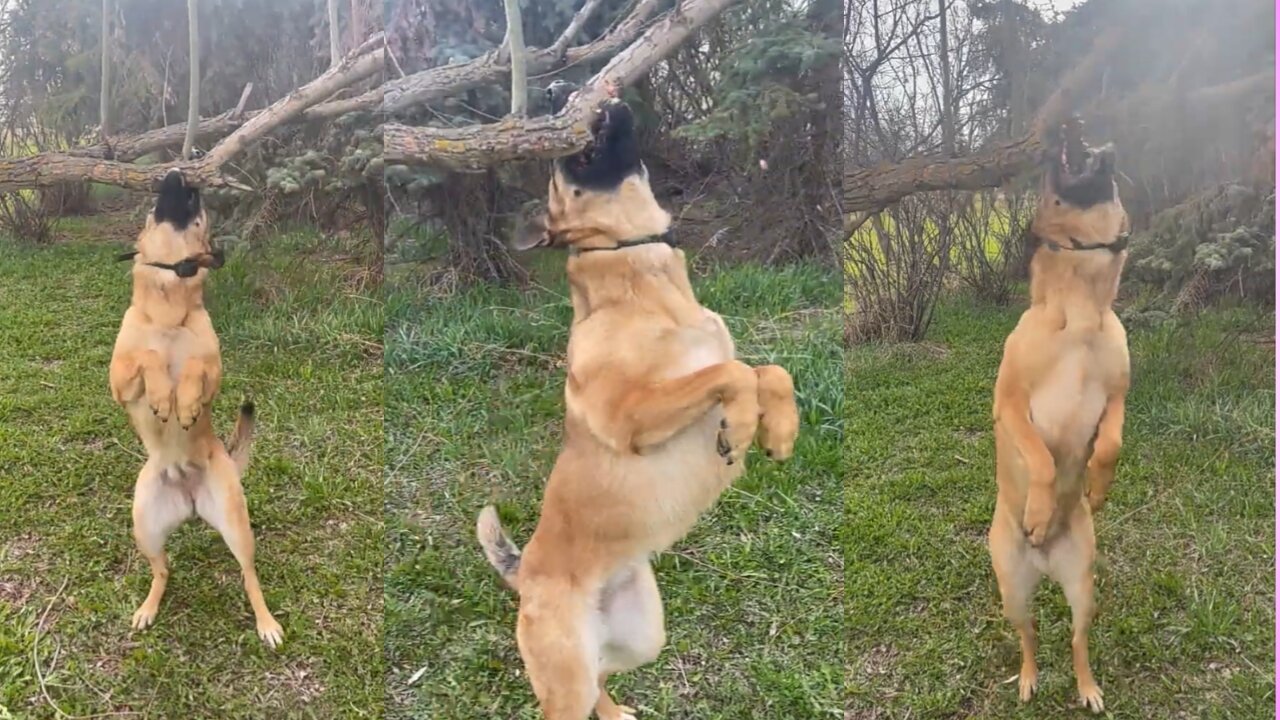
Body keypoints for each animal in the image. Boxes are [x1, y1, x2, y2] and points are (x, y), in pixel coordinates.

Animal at [110, 167, 282, 645]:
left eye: (200, 209)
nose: (178, 172)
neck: (170, 295)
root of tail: (188, 498)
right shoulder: (118, 380)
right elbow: (151, 356)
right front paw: (161, 397)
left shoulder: (214, 373)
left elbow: (191, 367)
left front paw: (182, 405)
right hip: (145, 526)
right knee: (162, 570)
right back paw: (148, 609)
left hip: (237, 526)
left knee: (249, 576)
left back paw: (267, 624)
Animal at [481, 87, 798, 712]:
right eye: (558, 166)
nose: (556, 89)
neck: (637, 273)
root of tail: (525, 571)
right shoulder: (629, 414)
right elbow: (732, 372)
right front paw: (741, 424)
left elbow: (766, 369)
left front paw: (779, 428)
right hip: (567, 679)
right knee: (578, 694)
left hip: (642, 636)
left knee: (606, 675)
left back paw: (618, 710)